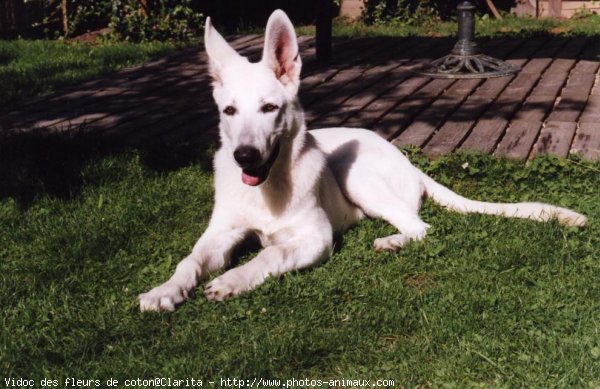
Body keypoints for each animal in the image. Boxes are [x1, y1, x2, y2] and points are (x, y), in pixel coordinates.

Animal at [138, 10, 588, 310]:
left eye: (269, 108)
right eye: (229, 111)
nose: (244, 156)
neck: (269, 189)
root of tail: (406, 160)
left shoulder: (316, 238)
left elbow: (271, 253)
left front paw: (234, 279)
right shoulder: (220, 233)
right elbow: (190, 260)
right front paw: (164, 290)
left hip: (354, 174)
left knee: (421, 227)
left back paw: (392, 240)